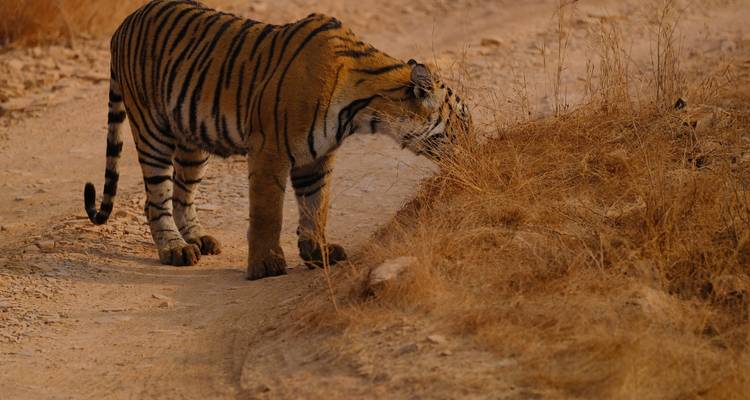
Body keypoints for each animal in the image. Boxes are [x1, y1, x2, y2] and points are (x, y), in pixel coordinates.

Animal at [83, 0, 472, 280]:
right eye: (463, 120)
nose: (476, 148)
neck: (365, 111)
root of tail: (124, 23)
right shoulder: (269, 148)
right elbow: (268, 213)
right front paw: (266, 266)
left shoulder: (317, 156)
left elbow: (316, 206)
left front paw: (318, 253)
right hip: (152, 131)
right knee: (156, 199)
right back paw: (175, 250)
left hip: (193, 141)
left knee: (182, 192)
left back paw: (197, 239)